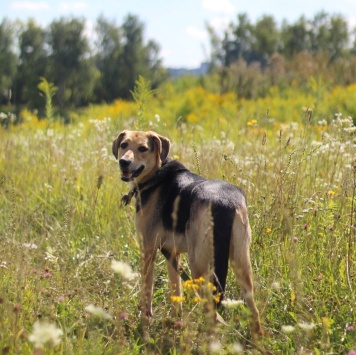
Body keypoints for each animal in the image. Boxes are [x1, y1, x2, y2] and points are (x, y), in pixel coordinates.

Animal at [112, 129, 262, 336]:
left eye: (142, 148)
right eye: (123, 145)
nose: (124, 162)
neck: (157, 174)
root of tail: (224, 203)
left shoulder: (148, 251)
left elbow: (146, 294)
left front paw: (145, 328)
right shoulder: (172, 253)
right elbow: (176, 291)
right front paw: (176, 323)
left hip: (199, 265)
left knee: (212, 312)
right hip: (241, 262)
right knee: (253, 310)